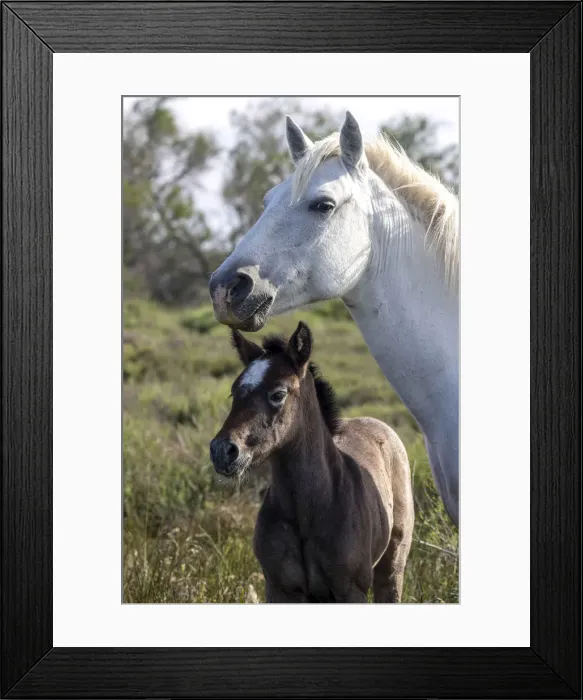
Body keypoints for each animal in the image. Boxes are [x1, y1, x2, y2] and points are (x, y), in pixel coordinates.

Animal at [210, 322, 414, 603]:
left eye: (278, 394)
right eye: (234, 392)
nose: (222, 451)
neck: (310, 510)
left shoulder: (351, 590)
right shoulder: (279, 589)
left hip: (392, 568)